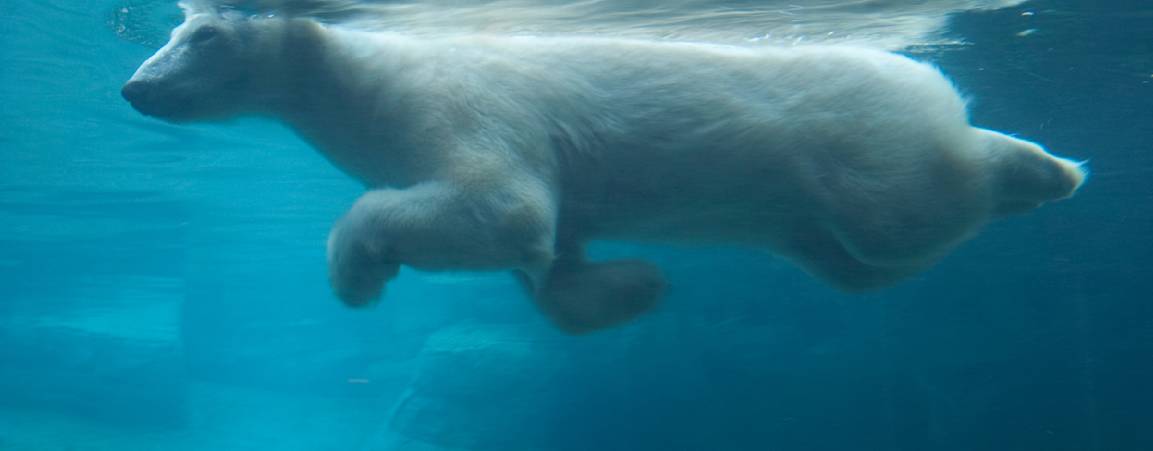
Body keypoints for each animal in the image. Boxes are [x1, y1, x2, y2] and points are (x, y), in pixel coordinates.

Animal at [121, 1, 1083, 334]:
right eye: (177, 28)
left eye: (203, 35)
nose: (134, 86)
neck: (366, 71)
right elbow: (550, 249)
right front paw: (635, 287)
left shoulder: (461, 104)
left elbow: (502, 205)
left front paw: (359, 267)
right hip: (805, 215)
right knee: (848, 263)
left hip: (852, 142)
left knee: (903, 210)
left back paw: (1042, 168)